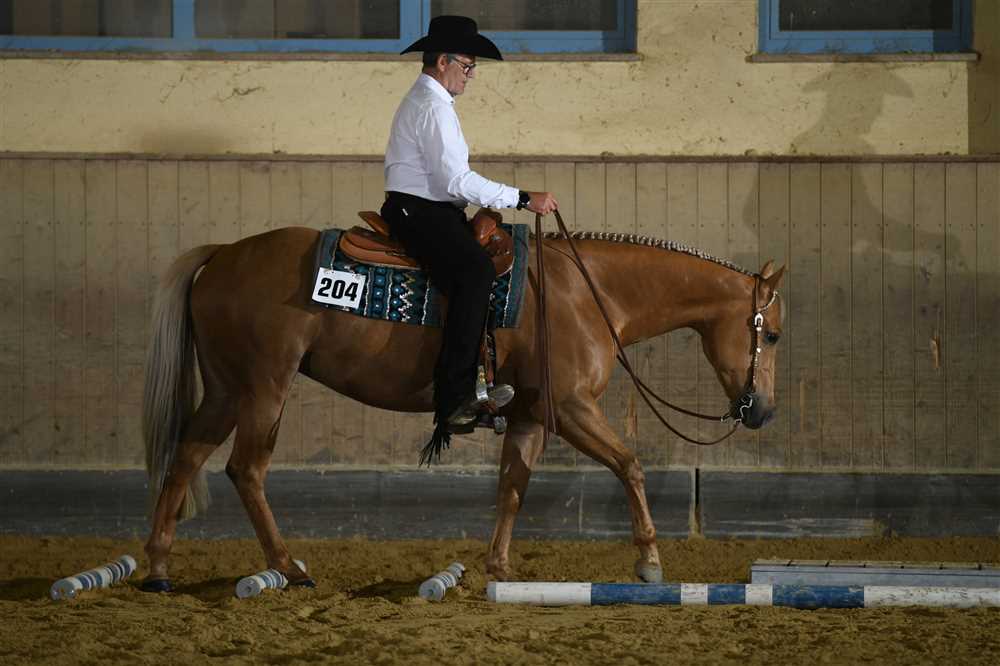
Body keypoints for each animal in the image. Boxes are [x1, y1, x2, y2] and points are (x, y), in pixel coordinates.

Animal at [140, 219, 785, 591]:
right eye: (773, 335)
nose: (761, 411)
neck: (587, 294)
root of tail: (223, 254)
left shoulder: (530, 417)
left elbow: (512, 487)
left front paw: (498, 568)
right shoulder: (573, 409)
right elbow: (630, 465)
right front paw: (649, 562)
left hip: (226, 389)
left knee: (186, 457)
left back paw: (158, 568)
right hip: (265, 386)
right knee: (246, 469)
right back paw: (289, 567)